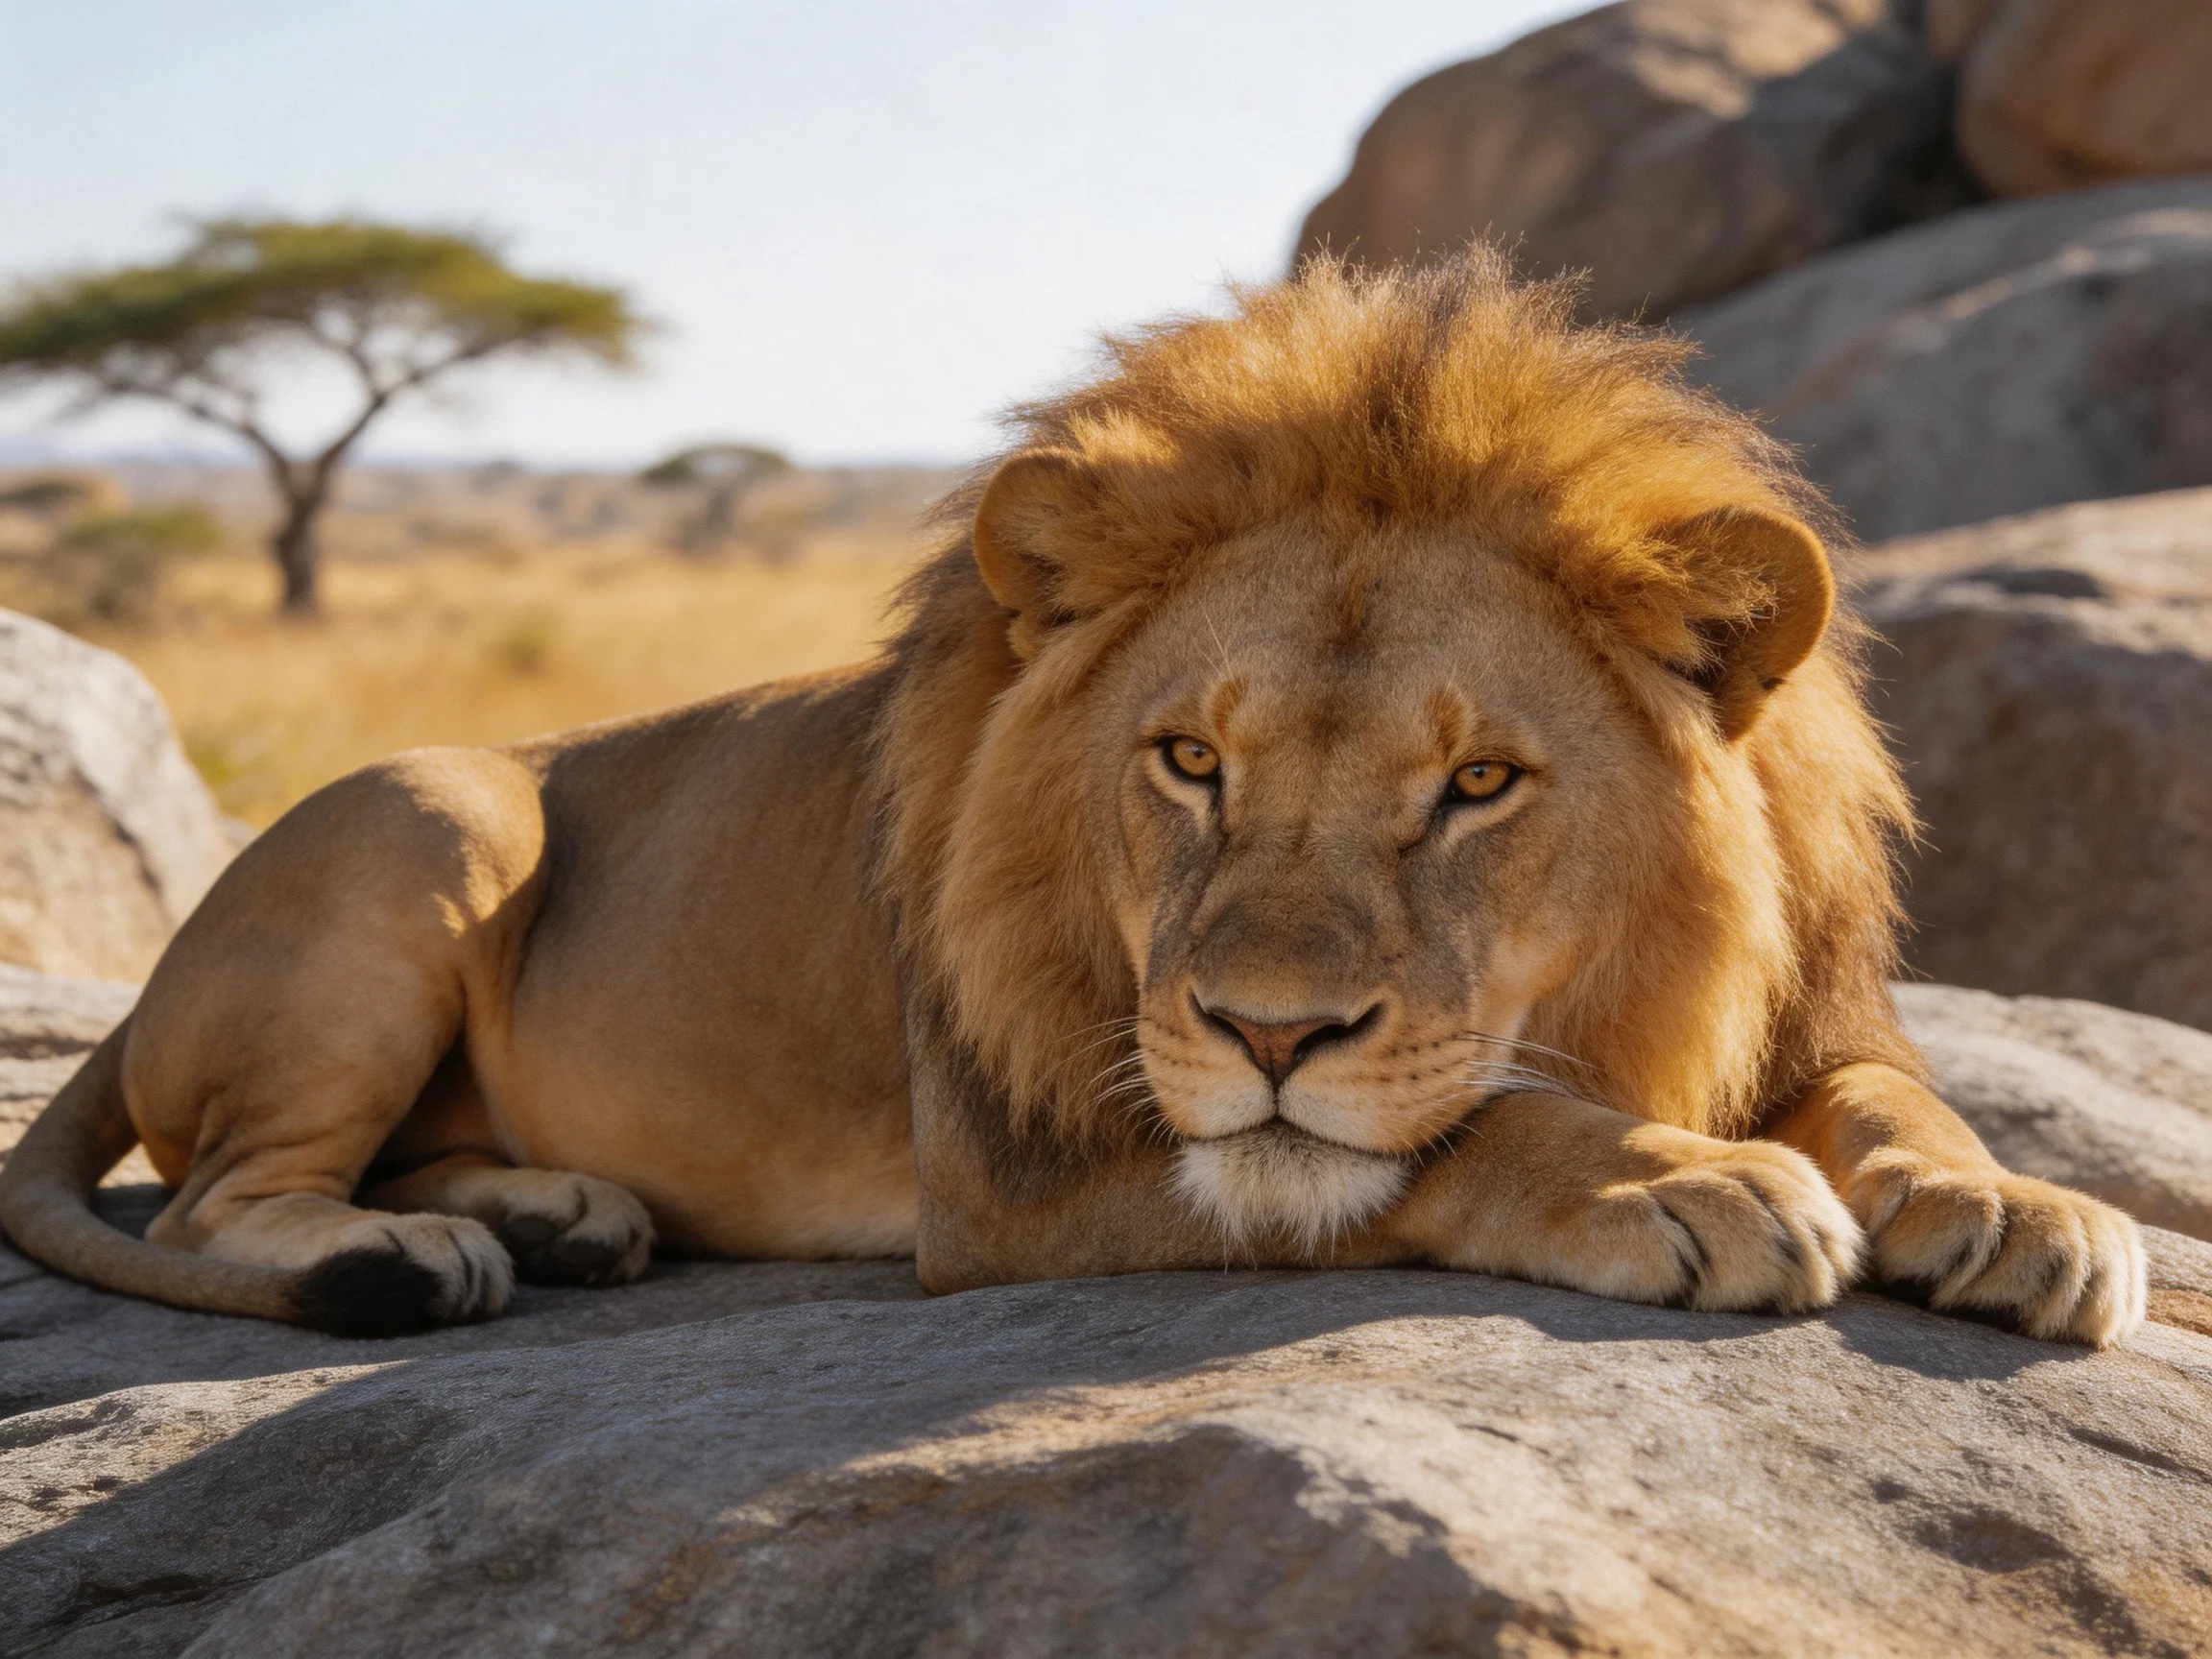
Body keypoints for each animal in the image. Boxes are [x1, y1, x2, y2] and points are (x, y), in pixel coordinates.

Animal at [0, 251, 2146, 1346]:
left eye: (1476, 784)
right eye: (1189, 760)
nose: (1269, 1032)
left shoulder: (1819, 1007)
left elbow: (1897, 1098)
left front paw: (2020, 1205)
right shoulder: (1020, 1158)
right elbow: (1439, 1141)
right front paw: (1675, 1181)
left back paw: (558, 1210)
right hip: (440, 811)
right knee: (222, 1195)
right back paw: (425, 1255)